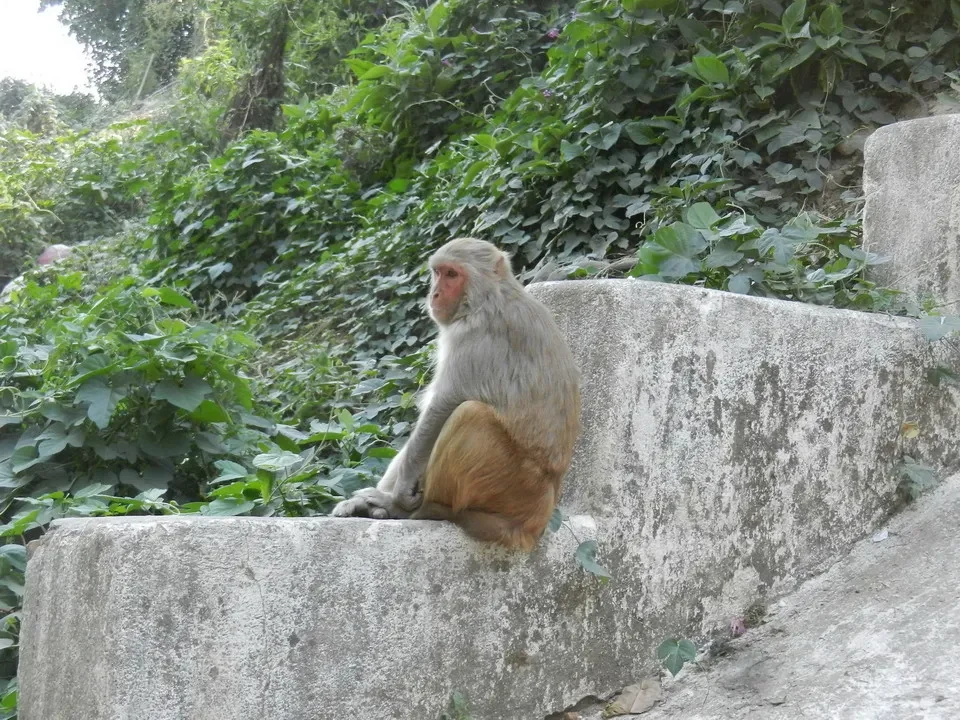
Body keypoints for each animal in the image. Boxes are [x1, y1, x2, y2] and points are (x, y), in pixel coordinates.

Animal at [331, 237, 581, 551]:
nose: (434, 294)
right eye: (438, 273)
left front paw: (398, 495)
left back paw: (412, 509)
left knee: (469, 413)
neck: (487, 297)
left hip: (512, 485)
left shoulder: (474, 335)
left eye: (452, 274)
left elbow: (442, 405)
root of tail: (537, 521)